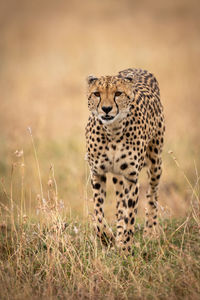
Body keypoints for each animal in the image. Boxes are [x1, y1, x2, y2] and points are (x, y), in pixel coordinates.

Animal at [85, 69, 165, 254]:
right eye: (97, 94)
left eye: (118, 93)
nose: (106, 109)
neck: (113, 131)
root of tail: (137, 69)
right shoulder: (97, 173)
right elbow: (98, 214)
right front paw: (108, 238)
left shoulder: (131, 177)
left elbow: (130, 215)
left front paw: (126, 249)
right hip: (117, 176)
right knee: (120, 203)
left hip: (156, 161)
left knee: (152, 193)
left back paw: (150, 231)